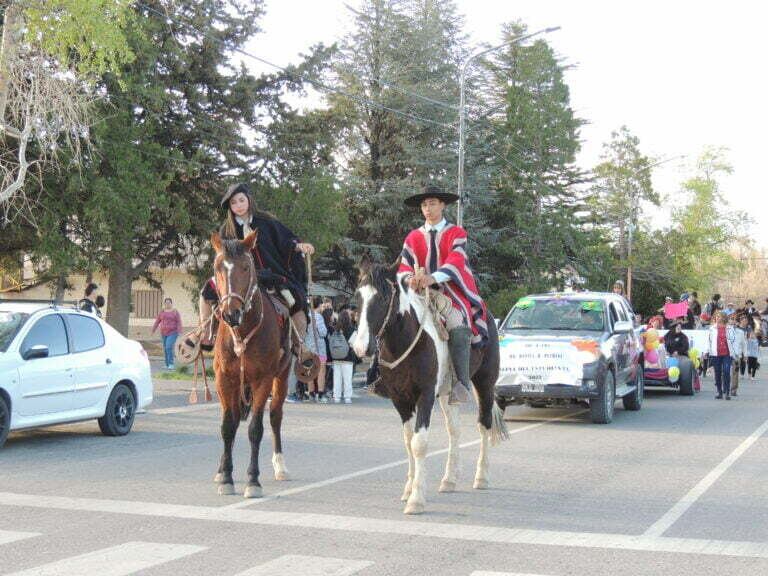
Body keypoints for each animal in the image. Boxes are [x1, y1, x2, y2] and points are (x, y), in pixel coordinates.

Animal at [210, 232, 292, 498]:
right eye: (217, 268)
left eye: (246, 267)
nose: (231, 313)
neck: (243, 330)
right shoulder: (224, 379)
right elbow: (228, 426)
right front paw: (226, 477)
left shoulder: (262, 380)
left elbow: (256, 429)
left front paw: (253, 481)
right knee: (234, 419)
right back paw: (221, 468)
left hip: (282, 376)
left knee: (275, 416)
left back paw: (280, 466)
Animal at [352, 258, 508, 516]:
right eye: (358, 296)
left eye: (383, 298)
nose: (361, 347)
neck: (407, 343)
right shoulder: (400, 400)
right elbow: (408, 441)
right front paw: (408, 489)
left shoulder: (424, 396)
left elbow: (419, 443)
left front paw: (416, 499)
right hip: (447, 393)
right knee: (454, 431)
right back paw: (449, 479)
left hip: (485, 383)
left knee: (483, 424)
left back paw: (482, 477)